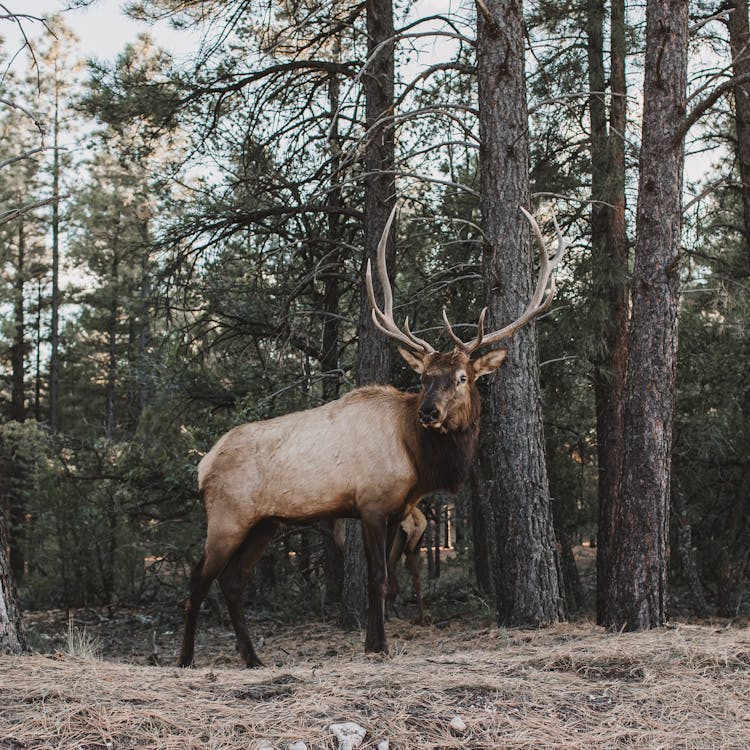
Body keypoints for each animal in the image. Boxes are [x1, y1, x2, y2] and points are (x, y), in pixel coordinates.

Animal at [179, 207, 568, 668]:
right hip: (227, 515)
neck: (419, 463)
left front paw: (371, 642)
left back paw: (254, 659)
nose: (428, 412)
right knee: (199, 577)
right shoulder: (371, 503)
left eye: (461, 377)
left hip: (265, 522)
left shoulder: (398, 510)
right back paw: (186, 658)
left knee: (233, 582)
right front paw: (379, 645)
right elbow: (379, 577)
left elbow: (386, 577)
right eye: (423, 377)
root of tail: (203, 465)